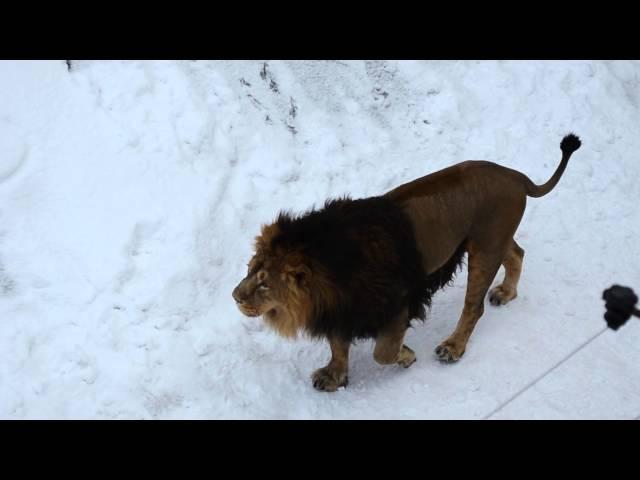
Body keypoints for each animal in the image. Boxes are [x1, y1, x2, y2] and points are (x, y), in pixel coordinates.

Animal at [232, 133, 584, 392]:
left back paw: (453, 347)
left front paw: (406, 355)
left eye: (264, 284)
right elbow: (338, 346)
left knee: (474, 307)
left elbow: (382, 352)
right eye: (249, 269)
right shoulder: (342, 309)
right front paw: (334, 376)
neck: (329, 271)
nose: (234, 297)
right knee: (517, 253)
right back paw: (506, 293)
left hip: (484, 251)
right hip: (489, 241)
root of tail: (514, 176)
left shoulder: (396, 305)